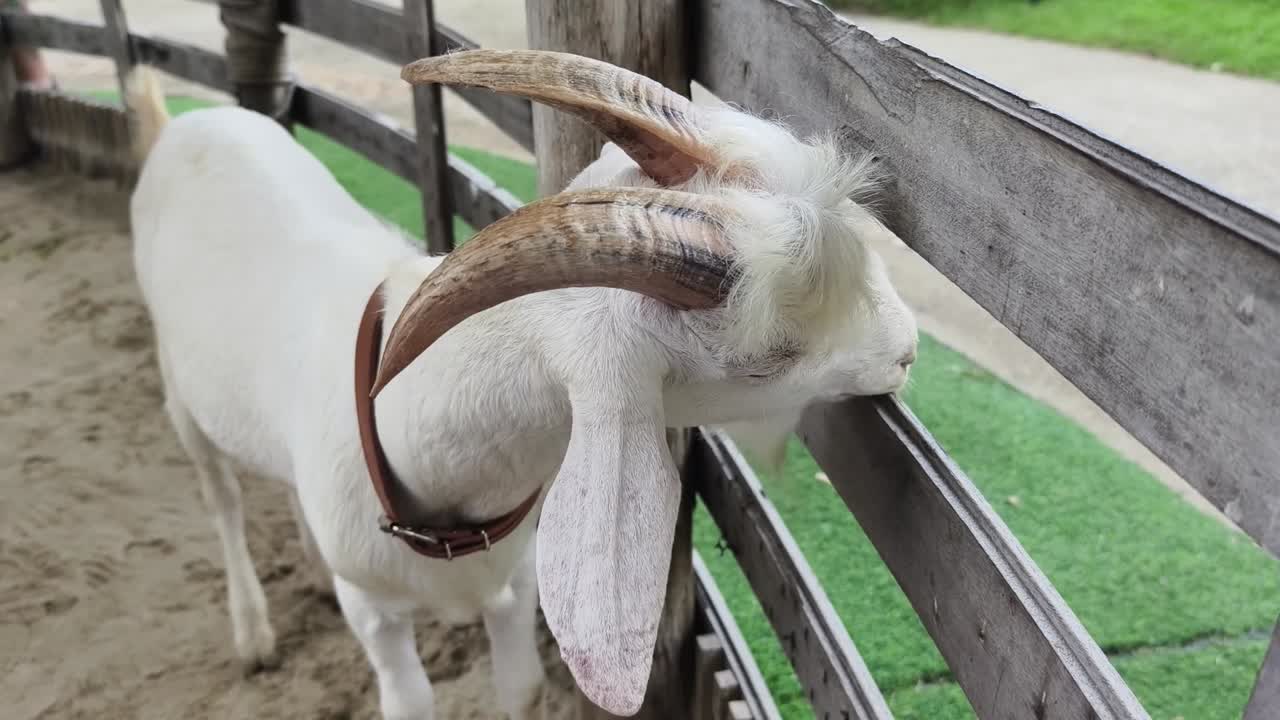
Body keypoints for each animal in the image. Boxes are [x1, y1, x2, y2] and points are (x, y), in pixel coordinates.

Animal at [125, 50, 917, 720]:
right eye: (769, 356)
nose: (908, 349)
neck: (408, 432)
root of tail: (183, 121)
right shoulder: (376, 616)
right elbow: (409, 701)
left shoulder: (515, 590)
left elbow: (521, 687)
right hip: (176, 381)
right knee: (220, 496)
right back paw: (252, 634)